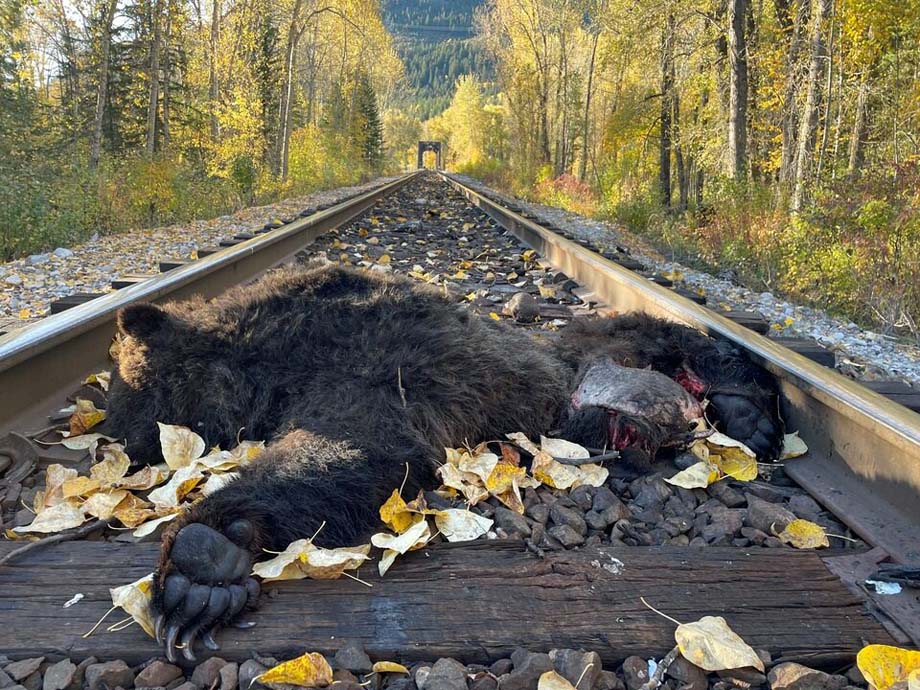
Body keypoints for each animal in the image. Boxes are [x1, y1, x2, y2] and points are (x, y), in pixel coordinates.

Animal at [108, 260, 784, 660]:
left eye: (123, 392)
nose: (119, 439)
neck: (263, 354)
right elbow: (350, 454)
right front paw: (206, 571)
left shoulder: (381, 373)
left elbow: (358, 449)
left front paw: (200, 562)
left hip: (606, 341)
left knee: (690, 339)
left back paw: (749, 415)